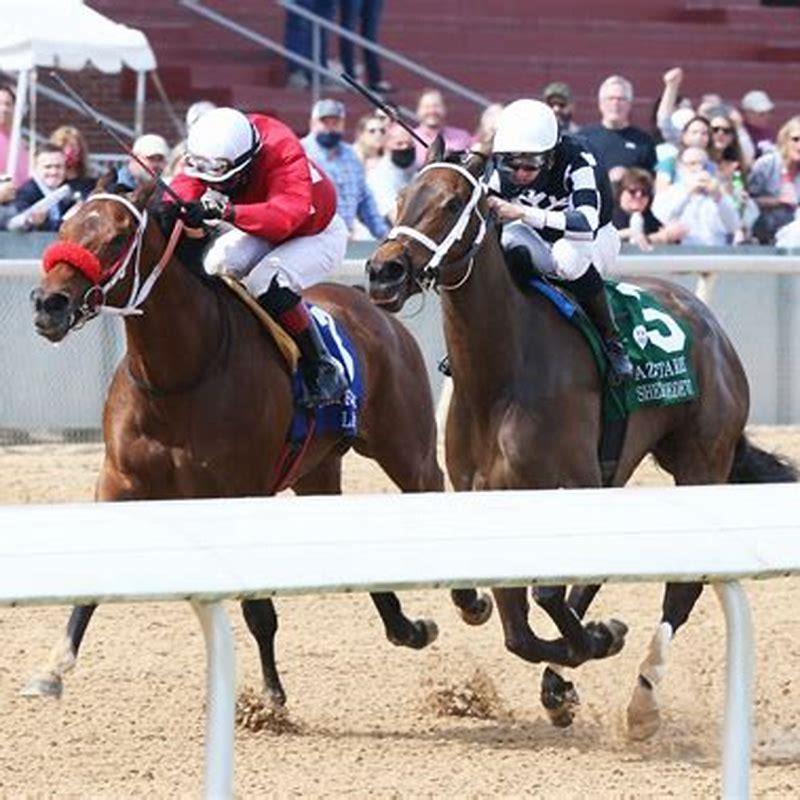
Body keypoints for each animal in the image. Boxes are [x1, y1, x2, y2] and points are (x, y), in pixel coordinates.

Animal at [25, 177, 466, 708]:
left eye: (117, 237)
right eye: (65, 226)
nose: (48, 303)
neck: (181, 375)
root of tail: (371, 307)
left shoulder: (242, 490)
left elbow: (258, 609)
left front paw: (271, 697)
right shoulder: (118, 483)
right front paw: (51, 669)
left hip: (405, 449)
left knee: (431, 484)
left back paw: (472, 598)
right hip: (316, 471)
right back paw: (409, 628)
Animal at [366, 136, 796, 736]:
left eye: (452, 204)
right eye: (401, 198)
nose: (382, 271)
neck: (503, 374)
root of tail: (708, 322)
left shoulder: (568, 484)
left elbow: (550, 593)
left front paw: (596, 641)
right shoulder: (489, 495)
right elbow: (519, 633)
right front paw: (566, 671)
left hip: (700, 461)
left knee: (680, 590)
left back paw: (642, 702)